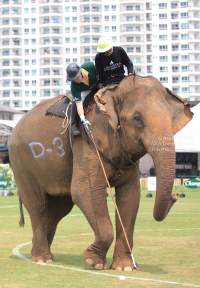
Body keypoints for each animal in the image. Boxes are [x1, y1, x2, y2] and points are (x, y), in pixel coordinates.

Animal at [9, 75, 192, 272]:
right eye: (138, 118)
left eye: (171, 119)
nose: (176, 195)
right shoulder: (90, 141)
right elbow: (83, 192)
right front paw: (93, 261)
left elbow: (131, 197)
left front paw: (124, 268)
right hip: (21, 161)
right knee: (38, 206)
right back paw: (42, 259)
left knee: (59, 208)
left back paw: (44, 254)